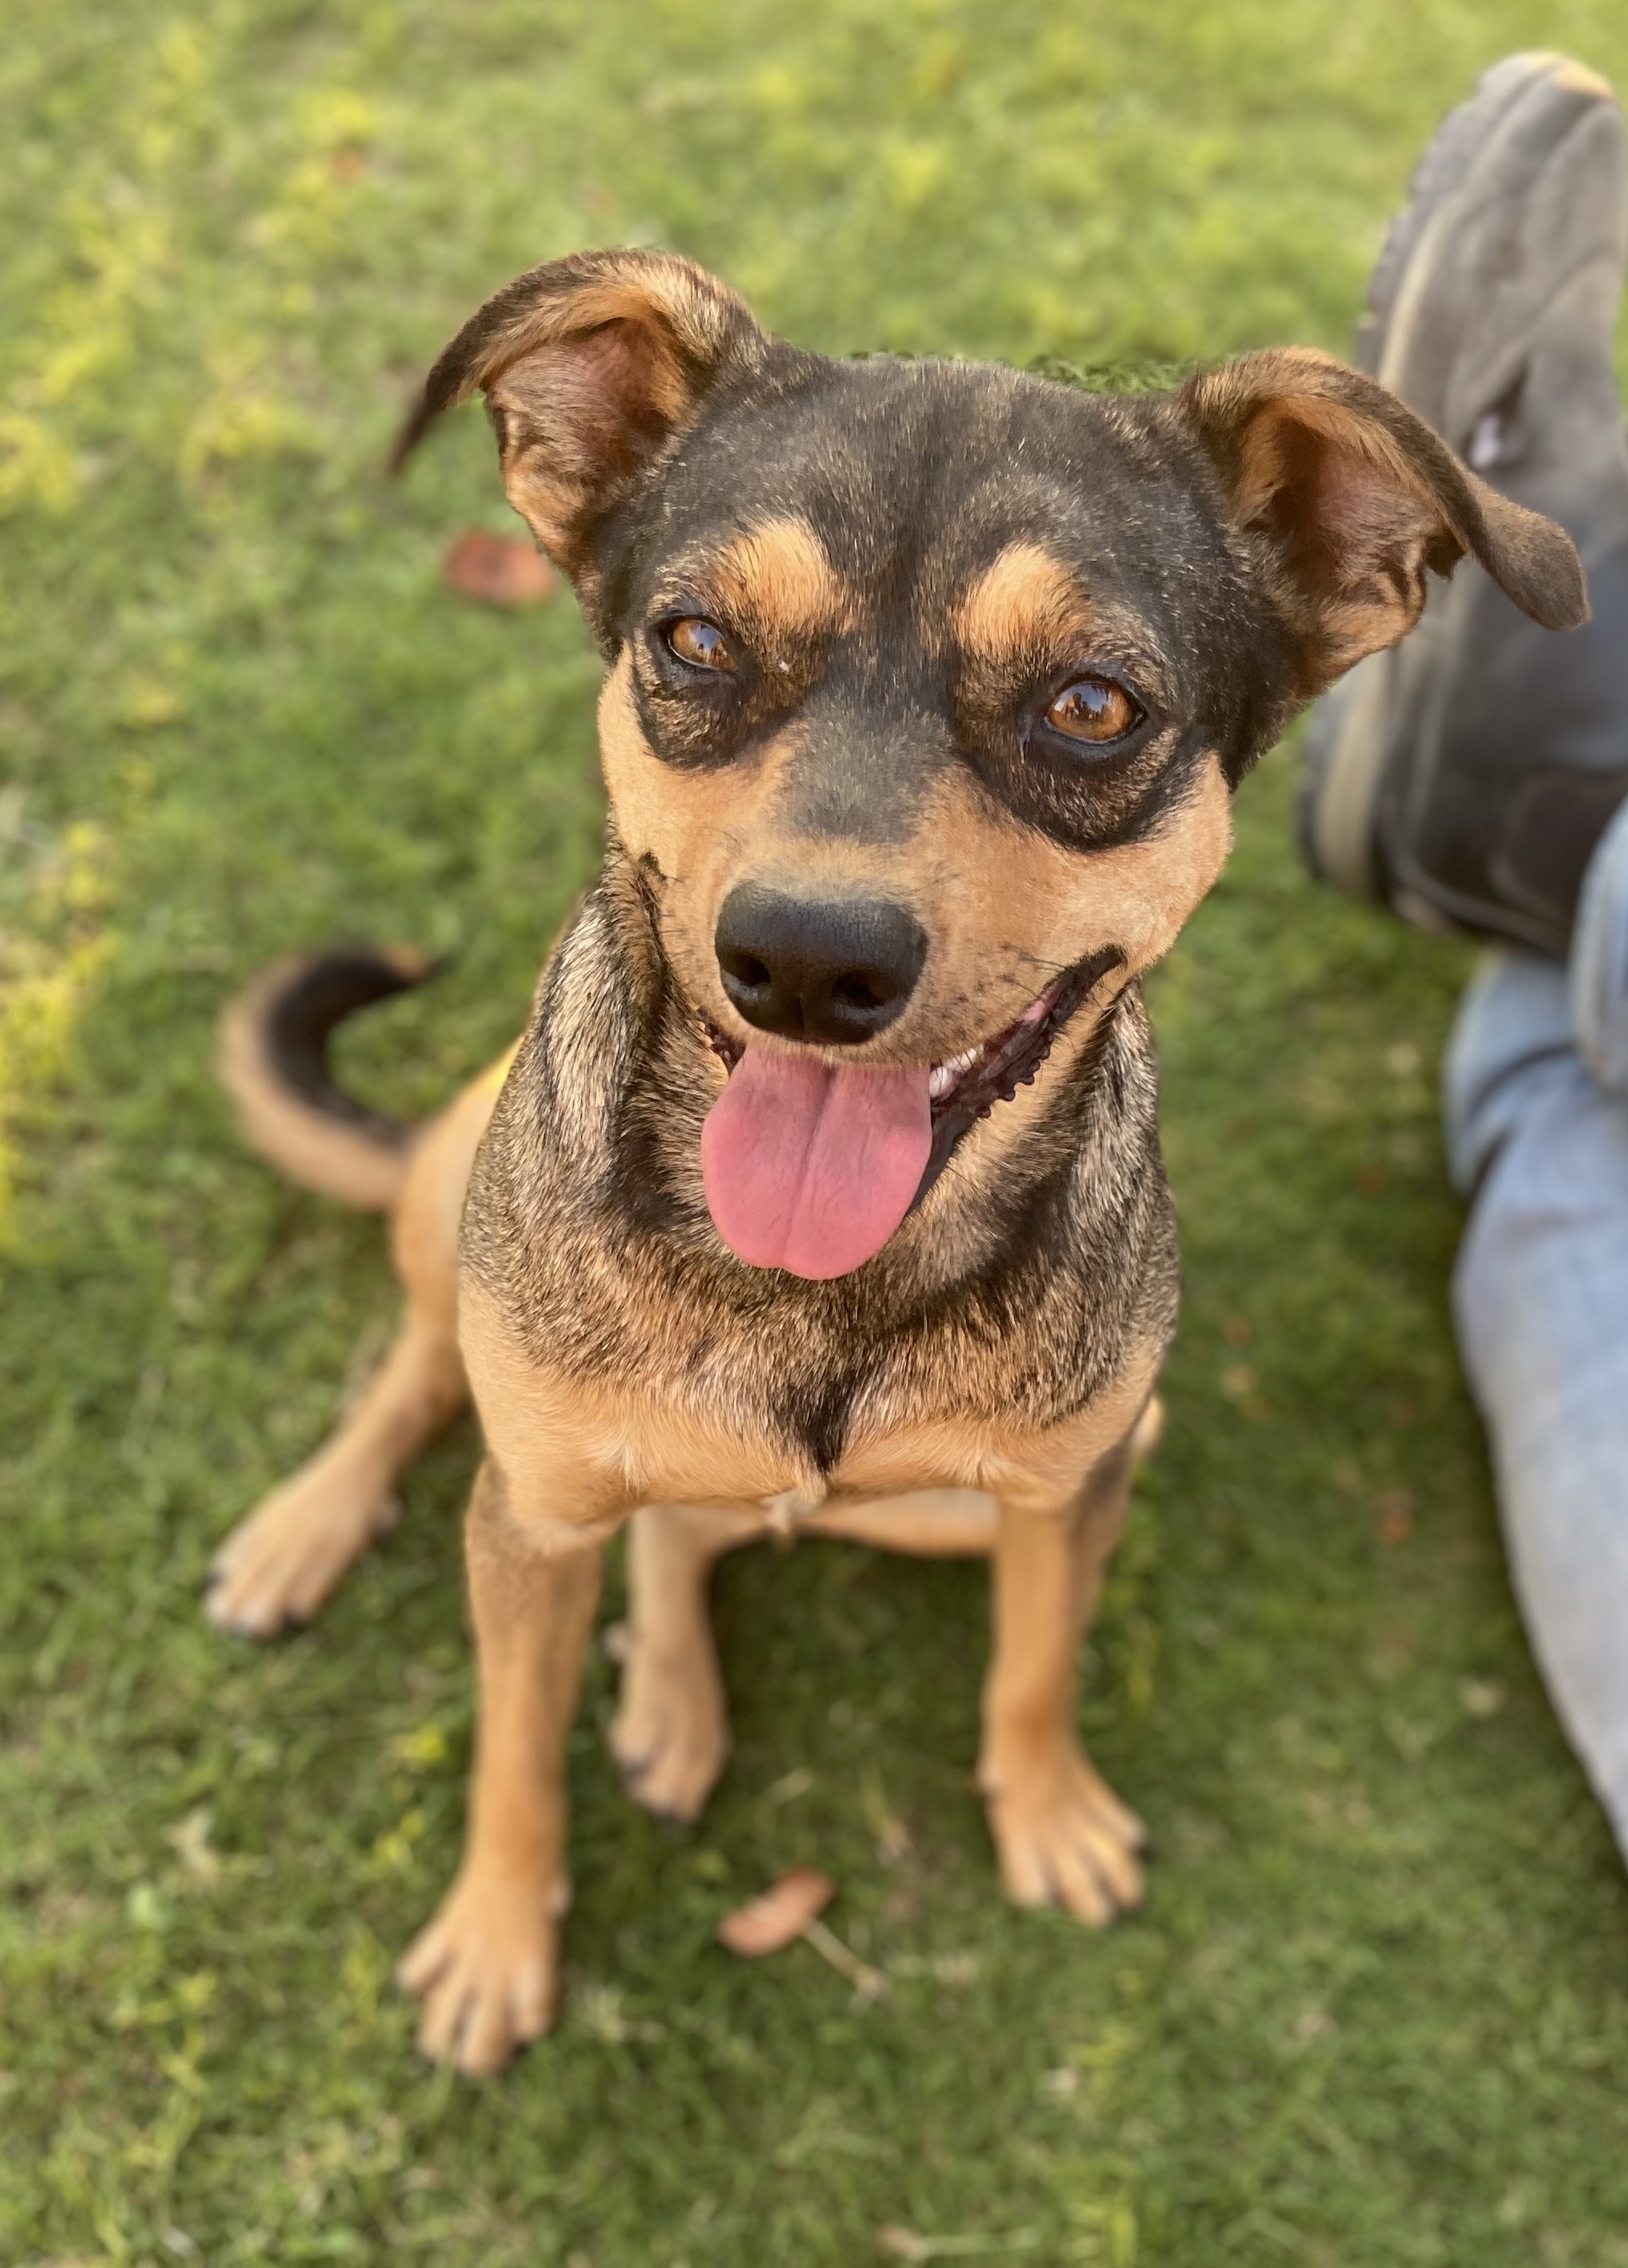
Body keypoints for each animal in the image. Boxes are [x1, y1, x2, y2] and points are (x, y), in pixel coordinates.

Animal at [207, 248, 1596, 2077]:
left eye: (1089, 705)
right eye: (696, 639)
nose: (803, 961)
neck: (818, 1297)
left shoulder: (1074, 1482)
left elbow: (1034, 1664)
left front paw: (1050, 1810)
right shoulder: (535, 1516)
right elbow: (512, 1744)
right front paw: (496, 1939)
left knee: (693, 1528)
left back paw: (671, 1686)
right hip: (462, 1192)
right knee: (422, 1369)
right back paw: (309, 1527)